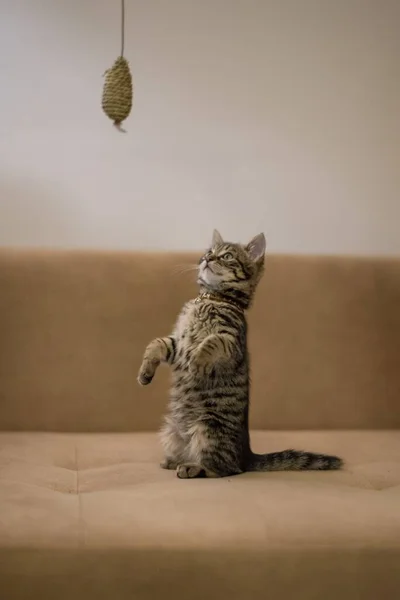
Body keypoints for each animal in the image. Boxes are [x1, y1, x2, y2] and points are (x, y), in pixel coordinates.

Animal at [138, 230, 344, 478]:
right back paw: (173, 461)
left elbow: (211, 342)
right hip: (171, 430)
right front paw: (145, 373)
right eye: (209, 252)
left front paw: (197, 363)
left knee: (223, 468)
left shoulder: (231, 341)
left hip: (209, 429)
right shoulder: (178, 343)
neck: (210, 299)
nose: (207, 259)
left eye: (226, 256)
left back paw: (192, 467)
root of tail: (246, 455)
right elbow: (157, 343)